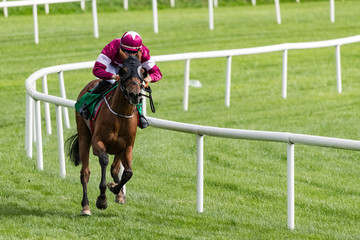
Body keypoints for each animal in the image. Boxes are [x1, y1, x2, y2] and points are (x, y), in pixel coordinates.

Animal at [67, 50, 147, 216]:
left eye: (143, 72)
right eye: (123, 71)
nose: (134, 94)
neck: (120, 114)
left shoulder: (127, 147)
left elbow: (128, 172)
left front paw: (115, 189)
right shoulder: (98, 143)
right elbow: (103, 160)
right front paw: (102, 200)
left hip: (118, 148)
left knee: (115, 168)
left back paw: (119, 194)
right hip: (84, 135)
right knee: (85, 172)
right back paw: (86, 206)